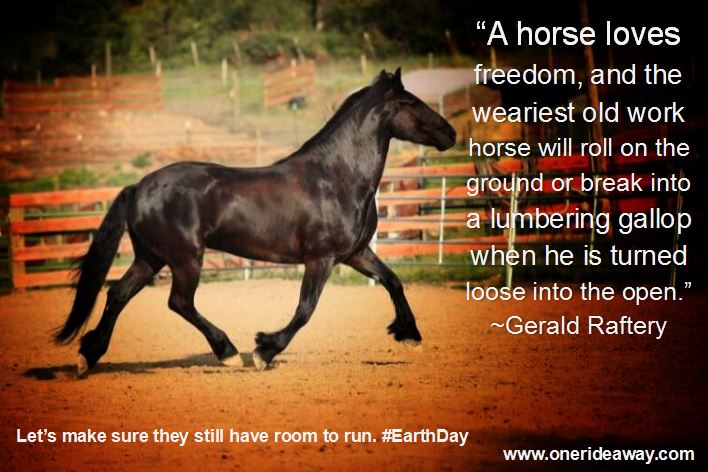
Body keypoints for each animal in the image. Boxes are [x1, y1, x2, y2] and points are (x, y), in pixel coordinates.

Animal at [54, 68, 456, 377]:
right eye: (412, 103)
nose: (450, 133)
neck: (336, 177)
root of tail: (139, 187)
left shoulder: (355, 254)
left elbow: (393, 281)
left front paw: (411, 334)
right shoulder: (321, 258)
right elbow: (305, 310)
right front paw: (264, 350)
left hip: (150, 258)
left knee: (118, 295)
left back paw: (88, 357)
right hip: (185, 258)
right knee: (179, 302)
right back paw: (228, 353)